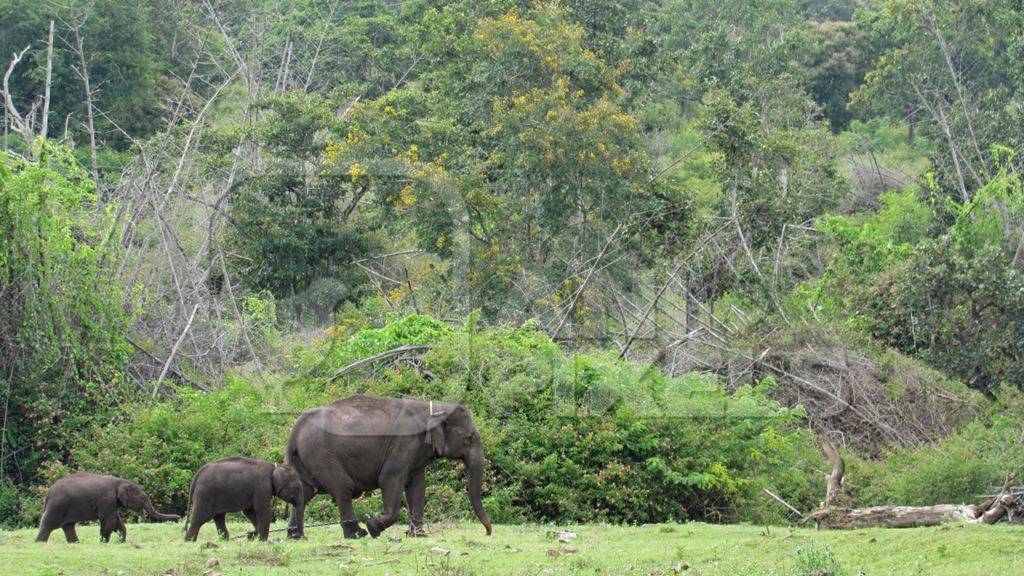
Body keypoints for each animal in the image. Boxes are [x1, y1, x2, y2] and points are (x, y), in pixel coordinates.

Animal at [35, 469, 180, 541]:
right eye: (143, 498)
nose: (179, 517)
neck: (120, 481)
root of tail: (48, 492)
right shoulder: (107, 499)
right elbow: (109, 521)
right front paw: (103, 542)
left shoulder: (113, 502)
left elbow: (117, 522)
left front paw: (121, 542)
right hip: (57, 505)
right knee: (48, 524)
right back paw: (39, 543)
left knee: (68, 526)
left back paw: (75, 544)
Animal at [286, 393, 493, 537]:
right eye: (468, 438)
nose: (488, 532)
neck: (434, 407)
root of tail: (296, 427)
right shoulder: (405, 443)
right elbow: (389, 478)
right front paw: (373, 527)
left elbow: (418, 486)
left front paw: (418, 535)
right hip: (320, 453)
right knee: (344, 489)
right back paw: (358, 534)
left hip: (305, 458)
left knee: (303, 493)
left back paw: (296, 536)